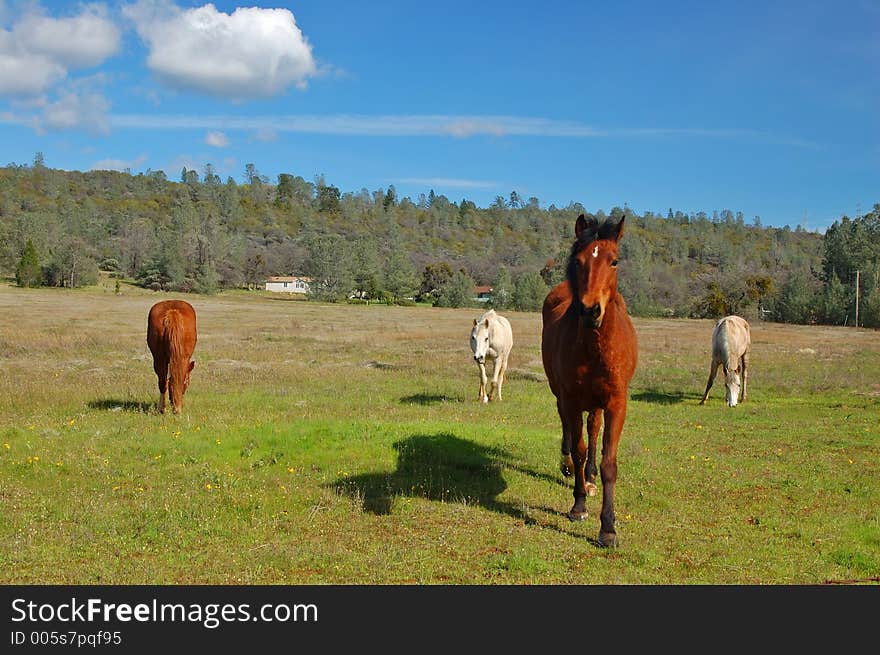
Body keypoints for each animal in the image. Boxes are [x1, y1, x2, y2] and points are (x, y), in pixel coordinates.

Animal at [540, 215, 636, 548]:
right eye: (579, 262)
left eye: (614, 261)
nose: (590, 310)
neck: (595, 348)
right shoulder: (570, 398)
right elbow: (579, 449)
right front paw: (579, 505)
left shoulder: (617, 402)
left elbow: (609, 462)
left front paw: (608, 528)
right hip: (562, 396)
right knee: (570, 432)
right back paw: (569, 467)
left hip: (596, 403)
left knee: (594, 429)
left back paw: (591, 477)